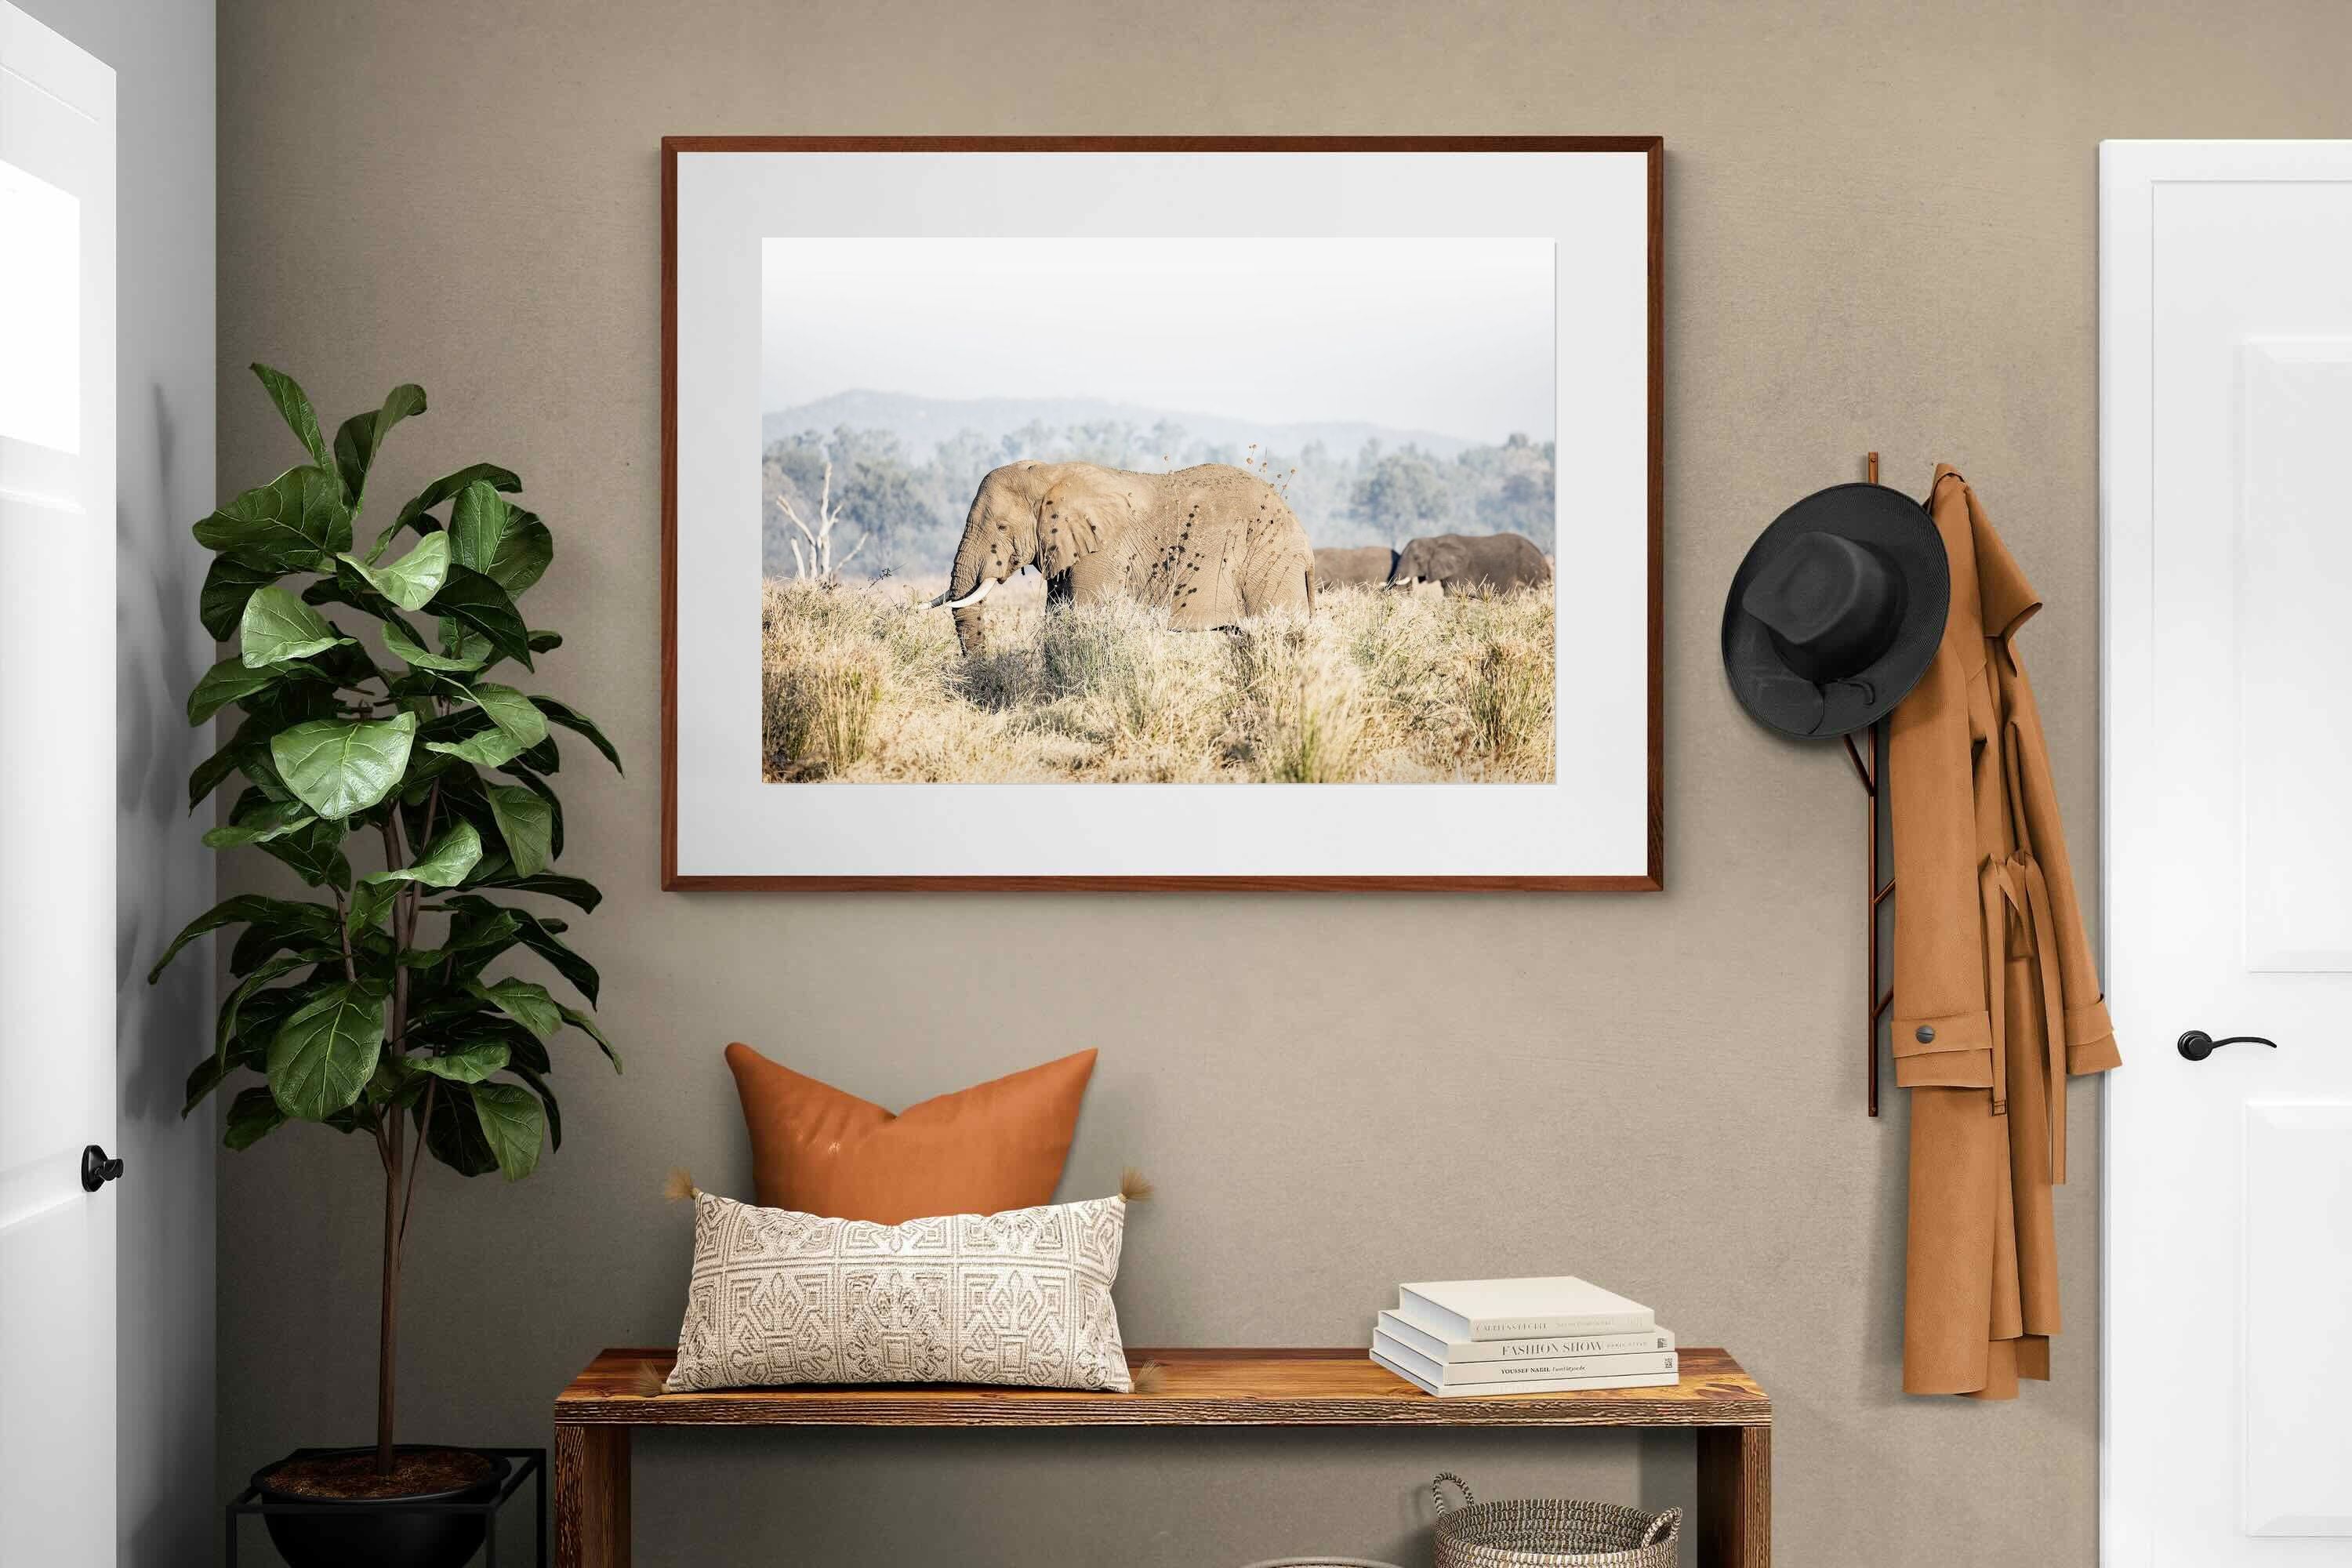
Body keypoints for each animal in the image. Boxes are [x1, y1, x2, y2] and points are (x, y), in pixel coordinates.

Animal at [928, 461, 1316, 654]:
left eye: (1002, 526)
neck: (1050, 473)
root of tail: (1305, 543)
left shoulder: (1103, 552)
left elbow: (1082, 618)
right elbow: (1058, 618)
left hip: (1270, 566)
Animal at [1388, 531, 1553, 596]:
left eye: (1417, 558)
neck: (1435, 540)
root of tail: (1542, 557)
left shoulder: (1459, 571)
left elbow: (1451, 595)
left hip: (1531, 573)